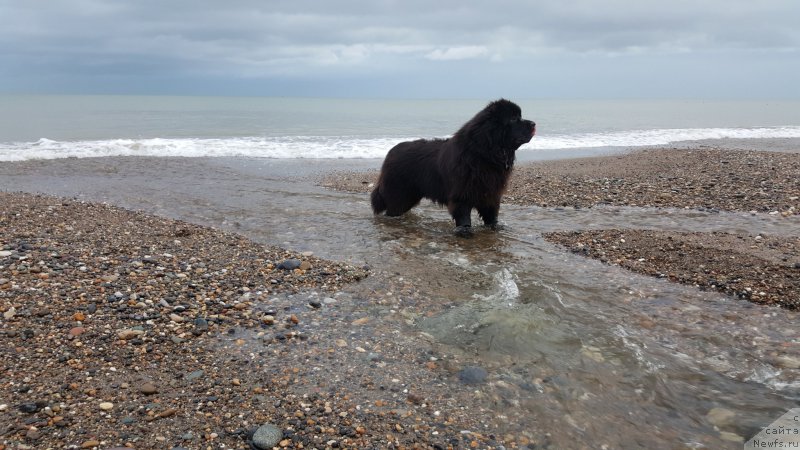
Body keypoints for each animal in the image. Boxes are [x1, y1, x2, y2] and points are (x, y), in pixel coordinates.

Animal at [370, 98, 536, 236]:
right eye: (513, 119)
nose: (534, 123)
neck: (484, 155)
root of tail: (390, 152)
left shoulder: (490, 194)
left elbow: (491, 215)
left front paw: (496, 227)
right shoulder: (462, 194)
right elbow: (463, 217)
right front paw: (465, 232)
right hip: (399, 194)